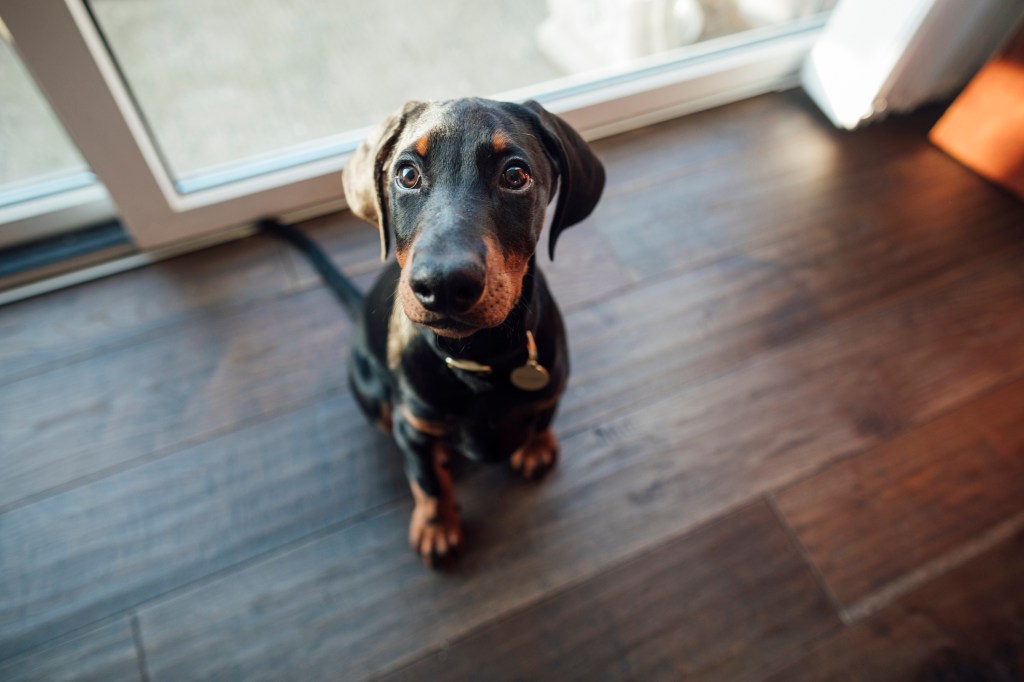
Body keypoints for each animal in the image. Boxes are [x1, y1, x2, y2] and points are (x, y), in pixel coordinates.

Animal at [268, 95, 602, 561]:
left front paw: (536, 447)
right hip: (374, 397)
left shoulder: (551, 385)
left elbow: (541, 415)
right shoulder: (413, 423)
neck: (477, 358)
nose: (443, 285)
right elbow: (426, 480)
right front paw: (437, 525)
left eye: (515, 175)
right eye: (407, 174)